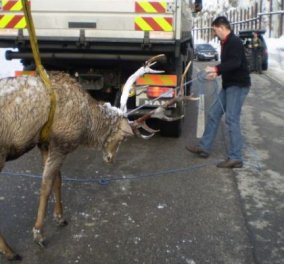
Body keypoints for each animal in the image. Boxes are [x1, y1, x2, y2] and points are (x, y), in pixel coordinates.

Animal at [0, 54, 195, 260]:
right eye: (123, 137)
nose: (111, 159)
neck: (87, 125)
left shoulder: (46, 143)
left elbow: (57, 181)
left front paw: (60, 217)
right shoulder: (61, 143)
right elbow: (46, 186)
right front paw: (38, 233)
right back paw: (10, 251)